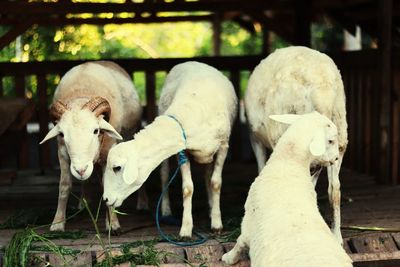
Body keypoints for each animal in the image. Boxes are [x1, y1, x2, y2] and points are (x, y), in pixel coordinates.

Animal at [39, 61, 148, 234]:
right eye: (62, 134)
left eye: (96, 130)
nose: (80, 170)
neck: (81, 94)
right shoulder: (62, 152)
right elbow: (64, 186)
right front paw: (57, 223)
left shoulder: (110, 150)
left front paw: (113, 225)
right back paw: (84, 203)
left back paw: (142, 203)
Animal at [101, 61, 238, 238]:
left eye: (117, 167)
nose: (105, 199)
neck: (193, 109)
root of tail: (193, 62)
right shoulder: (182, 151)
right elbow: (187, 188)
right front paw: (186, 229)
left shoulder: (223, 146)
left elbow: (216, 183)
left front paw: (217, 223)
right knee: (165, 176)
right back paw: (166, 212)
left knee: (208, 175)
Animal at [222, 112, 354, 267]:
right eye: (331, 141)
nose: (336, 158)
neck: (288, 162)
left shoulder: (248, 221)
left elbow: (240, 242)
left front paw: (228, 258)